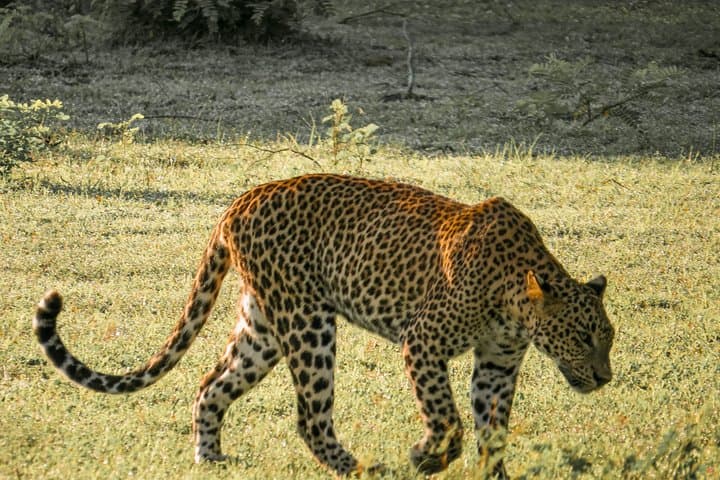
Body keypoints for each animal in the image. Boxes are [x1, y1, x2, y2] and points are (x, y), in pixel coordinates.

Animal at [34, 174, 614, 478]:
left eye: (607, 340)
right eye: (584, 338)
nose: (605, 378)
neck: (518, 301)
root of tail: (237, 201)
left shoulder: (496, 364)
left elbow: (493, 430)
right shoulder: (422, 342)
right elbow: (447, 417)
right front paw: (427, 456)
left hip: (263, 327)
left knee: (210, 384)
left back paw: (211, 458)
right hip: (308, 324)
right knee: (310, 417)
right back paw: (358, 468)